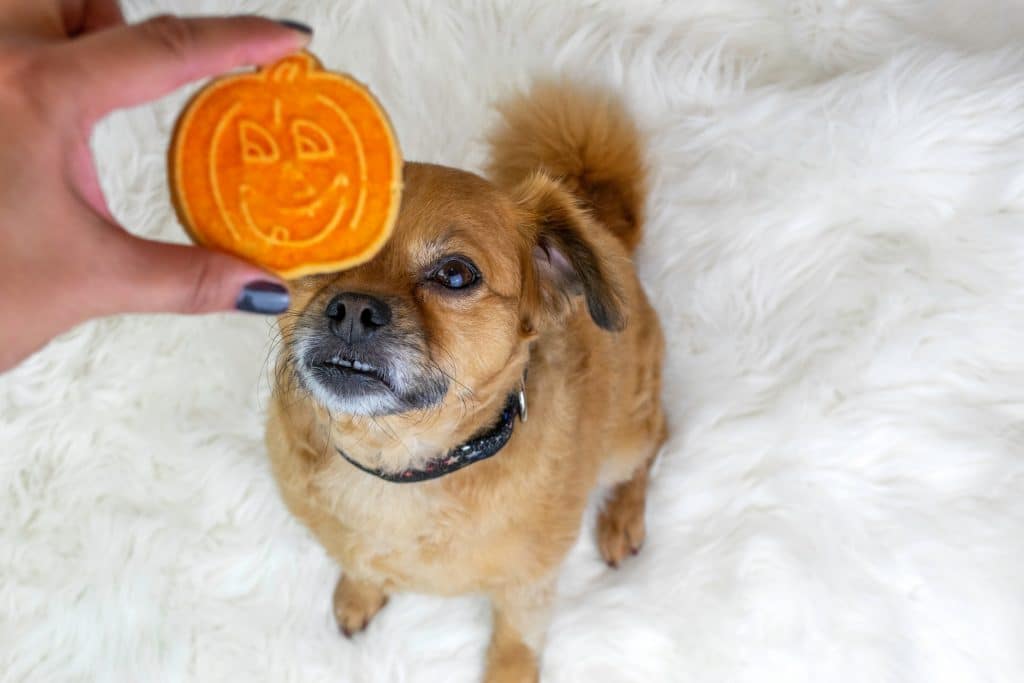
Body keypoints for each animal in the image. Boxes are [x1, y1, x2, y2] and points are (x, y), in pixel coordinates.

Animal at [264, 82, 667, 679]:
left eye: (455, 276)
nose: (354, 310)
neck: (400, 468)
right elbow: (360, 565)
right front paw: (360, 594)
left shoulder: (530, 580)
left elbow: (516, 636)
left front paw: (509, 672)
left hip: (624, 436)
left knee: (655, 441)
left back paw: (622, 517)